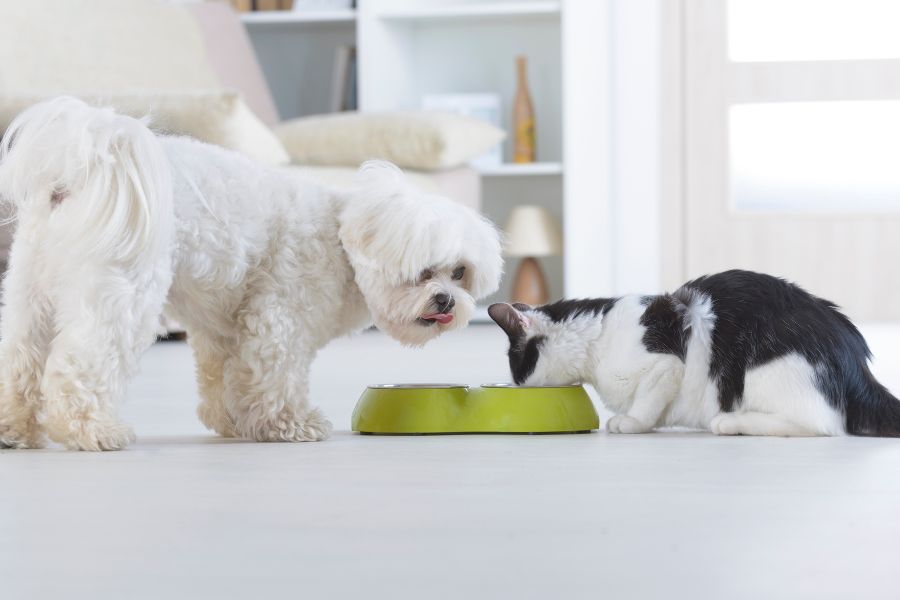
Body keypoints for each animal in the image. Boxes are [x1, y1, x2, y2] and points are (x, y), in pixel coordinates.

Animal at [0, 97, 502, 450]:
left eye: (460, 272)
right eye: (423, 272)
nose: (446, 300)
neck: (342, 240)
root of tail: (74, 180)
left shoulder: (224, 328)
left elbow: (224, 376)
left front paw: (233, 422)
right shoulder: (278, 318)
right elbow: (275, 375)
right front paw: (290, 425)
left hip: (30, 293)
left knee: (20, 361)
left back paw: (12, 430)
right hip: (121, 292)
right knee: (79, 366)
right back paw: (94, 431)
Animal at [488, 270, 900, 436]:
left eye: (517, 368)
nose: (517, 386)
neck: (596, 336)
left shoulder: (667, 364)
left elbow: (646, 401)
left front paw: (632, 423)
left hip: (766, 371)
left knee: (819, 423)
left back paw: (731, 423)